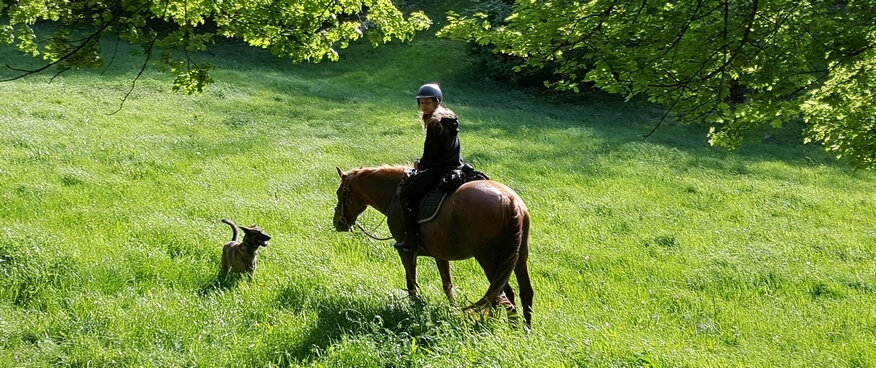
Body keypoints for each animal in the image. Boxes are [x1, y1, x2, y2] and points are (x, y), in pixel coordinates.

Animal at [332, 165, 532, 326]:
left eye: (340, 192)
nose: (338, 222)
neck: (396, 194)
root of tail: (510, 201)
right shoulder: (440, 255)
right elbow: (448, 286)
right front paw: (452, 311)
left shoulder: (406, 252)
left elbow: (411, 284)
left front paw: (414, 309)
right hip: (518, 259)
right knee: (523, 293)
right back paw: (523, 330)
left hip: (490, 261)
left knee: (503, 296)